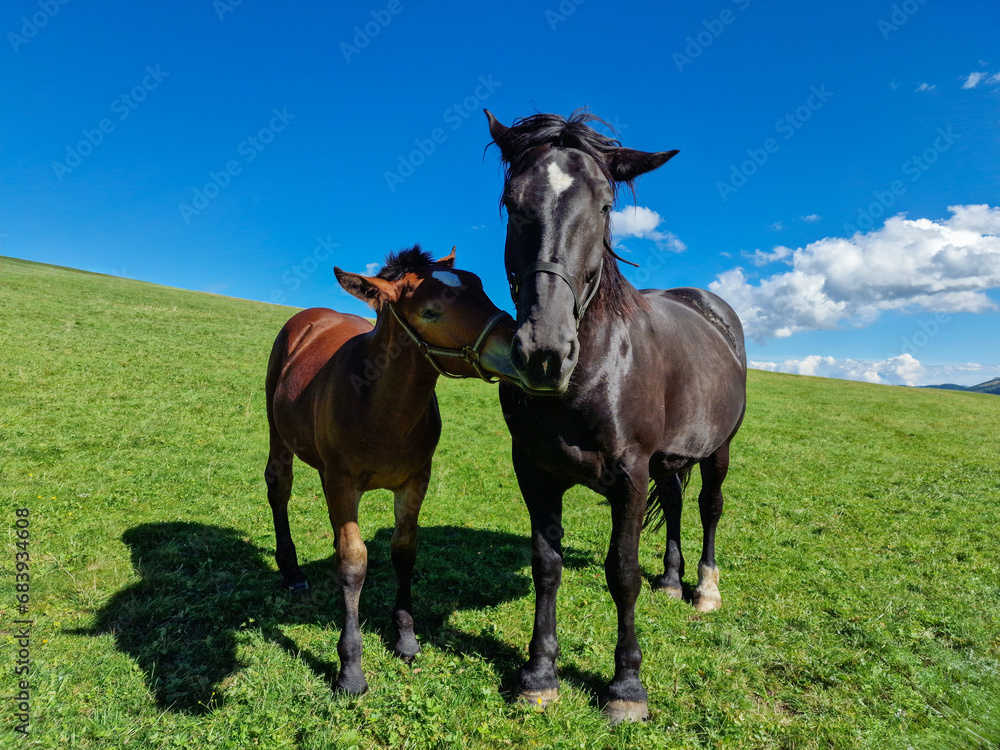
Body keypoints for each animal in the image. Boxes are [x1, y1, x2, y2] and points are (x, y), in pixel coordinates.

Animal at [263, 245, 519, 695]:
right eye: (431, 311)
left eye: (483, 288)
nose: (526, 348)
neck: (381, 406)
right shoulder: (342, 483)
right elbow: (352, 562)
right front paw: (350, 668)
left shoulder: (416, 480)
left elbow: (404, 550)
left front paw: (405, 635)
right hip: (278, 432)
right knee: (279, 487)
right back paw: (291, 570)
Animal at [484, 110, 747, 723]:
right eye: (511, 200)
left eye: (605, 206)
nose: (544, 352)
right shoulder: (534, 472)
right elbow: (546, 564)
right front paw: (539, 674)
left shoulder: (630, 473)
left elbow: (622, 573)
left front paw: (627, 686)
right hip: (669, 459)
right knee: (674, 502)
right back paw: (672, 581)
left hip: (717, 449)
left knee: (709, 507)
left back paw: (705, 589)